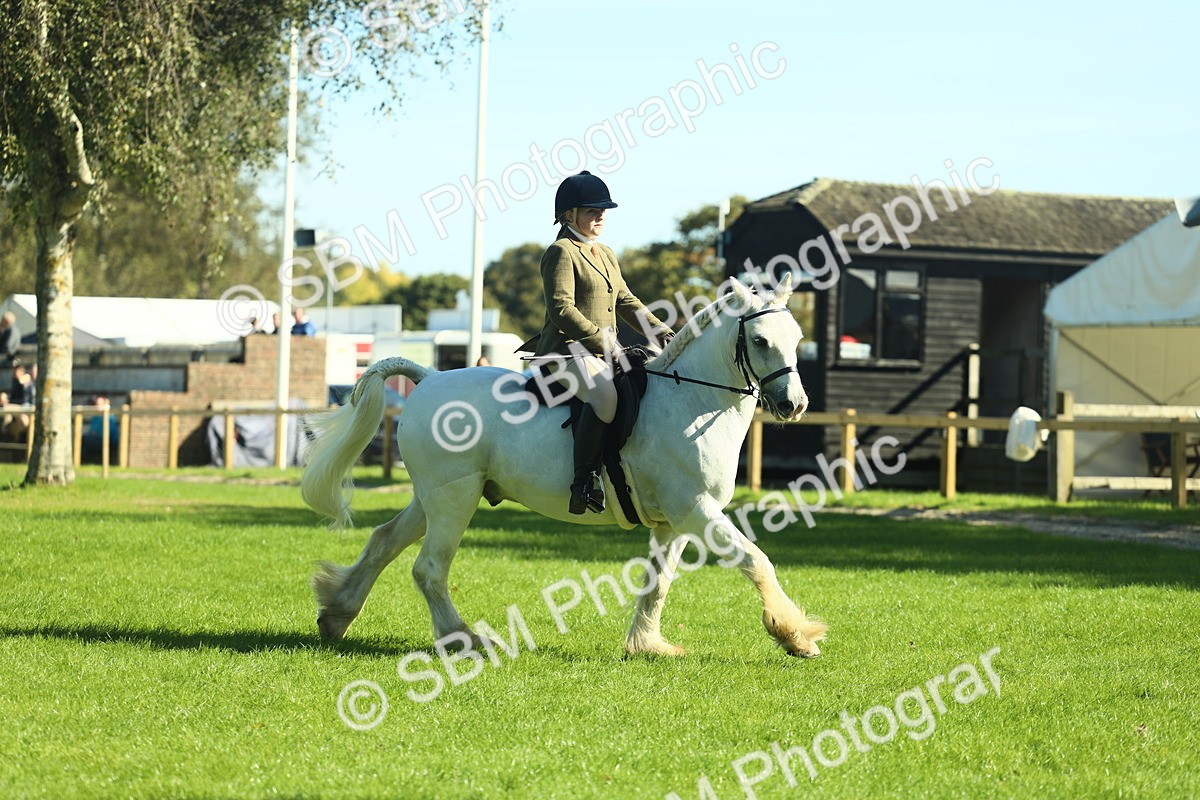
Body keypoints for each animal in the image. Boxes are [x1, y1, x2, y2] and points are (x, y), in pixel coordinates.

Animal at [300, 275, 828, 658]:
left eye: (798, 337)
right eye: (759, 340)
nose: (794, 405)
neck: (690, 400)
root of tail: (428, 378)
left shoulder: (674, 522)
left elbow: (657, 582)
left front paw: (647, 645)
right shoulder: (695, 510)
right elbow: (756, 561)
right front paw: (795, 636)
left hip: (434, 495)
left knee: (384, 541)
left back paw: (336, 615)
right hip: (455, 499)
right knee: (429, 569)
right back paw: (465, 640)